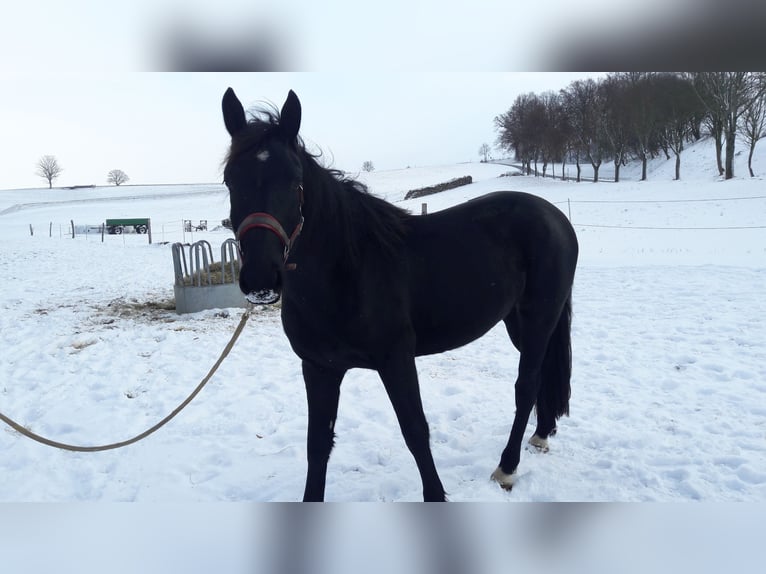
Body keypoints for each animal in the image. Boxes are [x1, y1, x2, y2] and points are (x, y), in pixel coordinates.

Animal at [221, 88, 578, 501]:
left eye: (293, 179)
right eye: (230, 180)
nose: (261, 277)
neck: (347, 272)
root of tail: (555, 217)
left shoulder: (396, 360)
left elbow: (416, 433)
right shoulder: (319, 368)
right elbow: (317, 444)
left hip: (539, 318)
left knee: (526, 385)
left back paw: (507, 467)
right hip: (517, 321)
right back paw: (541, 435)